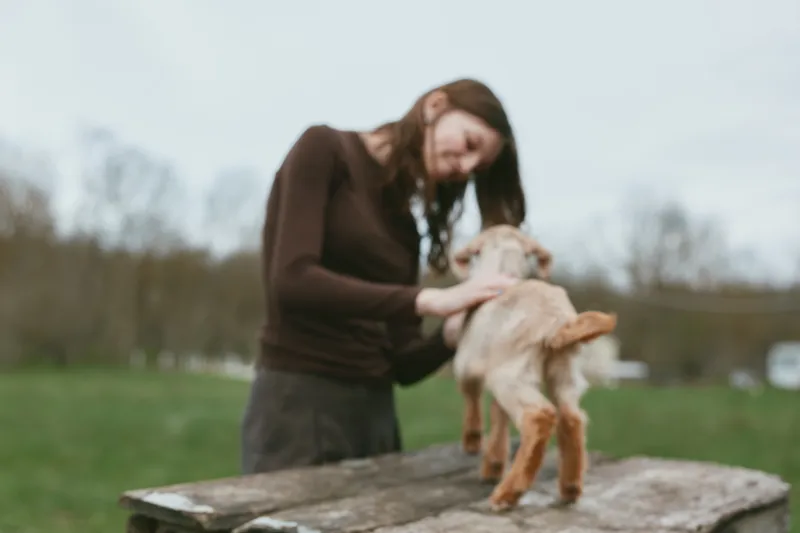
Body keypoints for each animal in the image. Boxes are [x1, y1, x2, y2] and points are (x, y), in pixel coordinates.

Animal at [448, 224, 618, 511]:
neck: (504, 270)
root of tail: (558, 322)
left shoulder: (467, 363)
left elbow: (472, 398)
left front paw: (472, 442)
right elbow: (499, 415)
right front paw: (493, 464)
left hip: (511, 373)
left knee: (538, 416)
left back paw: (507, 494)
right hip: (564, 371)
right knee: (572, 418)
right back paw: (570, 488)